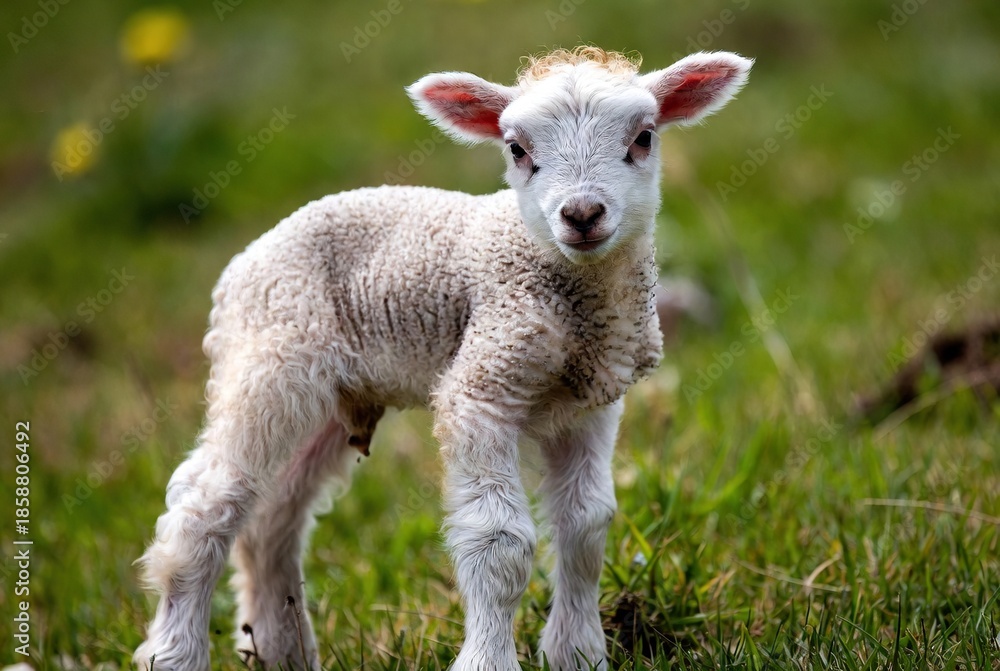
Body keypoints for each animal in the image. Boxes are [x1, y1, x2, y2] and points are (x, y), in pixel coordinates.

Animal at [133, 46, 752, 671]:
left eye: (644, 137)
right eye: (517, 150)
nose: (581, 214)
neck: (572, 296)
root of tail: (243, 262)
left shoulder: (590, 404)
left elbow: (586, 527)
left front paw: (578, 654)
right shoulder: (483, 387)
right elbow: (500, 542)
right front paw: (490, 660)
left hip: (333, 395)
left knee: (271, 520)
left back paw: (282, 652)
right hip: (267, 361)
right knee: (204, 504)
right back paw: (175, 652)